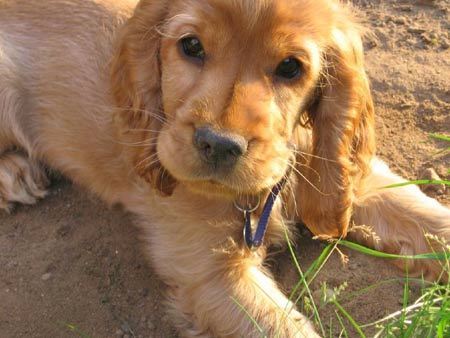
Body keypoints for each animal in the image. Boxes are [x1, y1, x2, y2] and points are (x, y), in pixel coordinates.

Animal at [0, 0, 448, 336]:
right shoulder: (213, 275)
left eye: (291, 67)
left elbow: (431, 220)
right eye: (191, 45)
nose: (218, 145)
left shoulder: (359, 181)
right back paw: (13, 175)